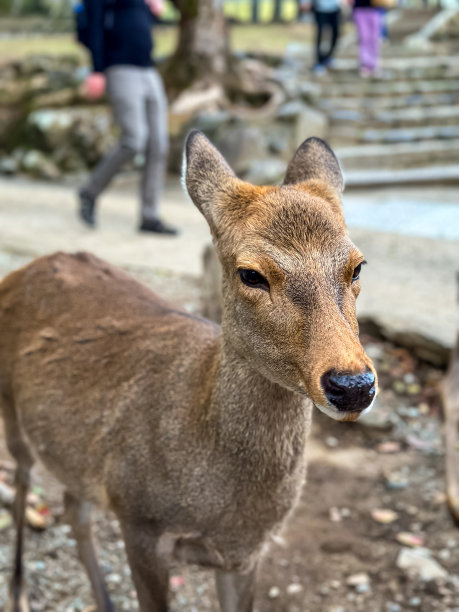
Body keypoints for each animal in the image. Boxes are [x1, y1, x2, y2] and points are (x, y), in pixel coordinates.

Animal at [0, 131, 378, 608]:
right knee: (23, 482)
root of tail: (21, 271)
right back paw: (18, 592)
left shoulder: (246, 552)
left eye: (358, 265)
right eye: (250, 273)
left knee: (73, 504)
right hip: (10, 410)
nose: (353, 384)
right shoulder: (138, 520)